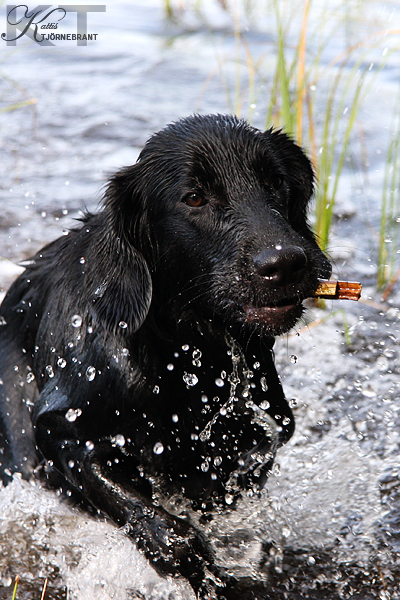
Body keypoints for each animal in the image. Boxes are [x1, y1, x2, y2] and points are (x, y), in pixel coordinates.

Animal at [0, 115, 332, 596]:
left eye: (275, 182)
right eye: (194, 198)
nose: (284, 262)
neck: (186, 356)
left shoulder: (252, 445)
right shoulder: (61, 429)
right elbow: (172, 534)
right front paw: (202, 572)